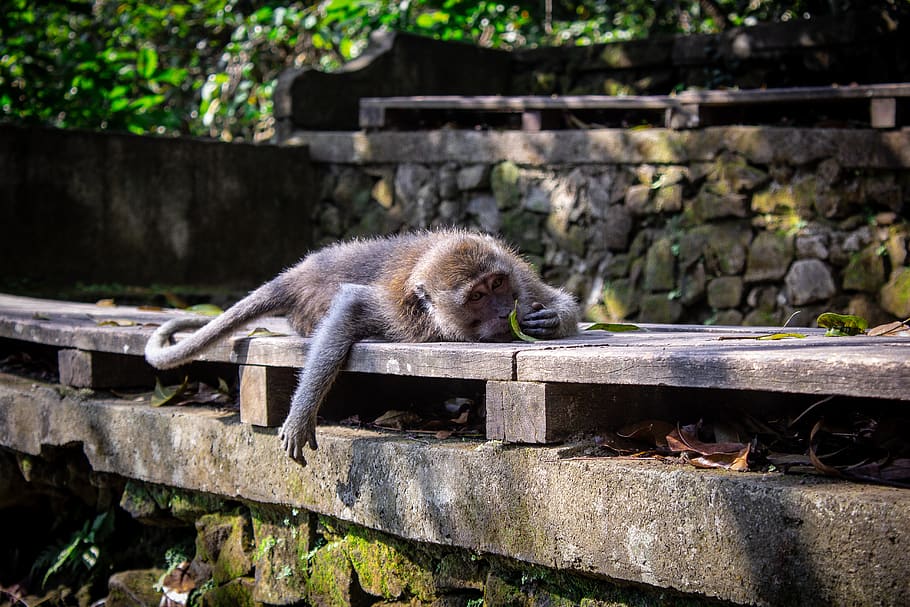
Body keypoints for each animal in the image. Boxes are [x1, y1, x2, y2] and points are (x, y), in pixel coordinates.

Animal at [145, 229, 579, 463]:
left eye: (498, 284)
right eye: (477, 297)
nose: (506, 310)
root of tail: (296, 274)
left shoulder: (521, 277)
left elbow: (559, 300)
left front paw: (550, 319)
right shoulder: (401, 314)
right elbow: (351, 305)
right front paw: (301, 415)